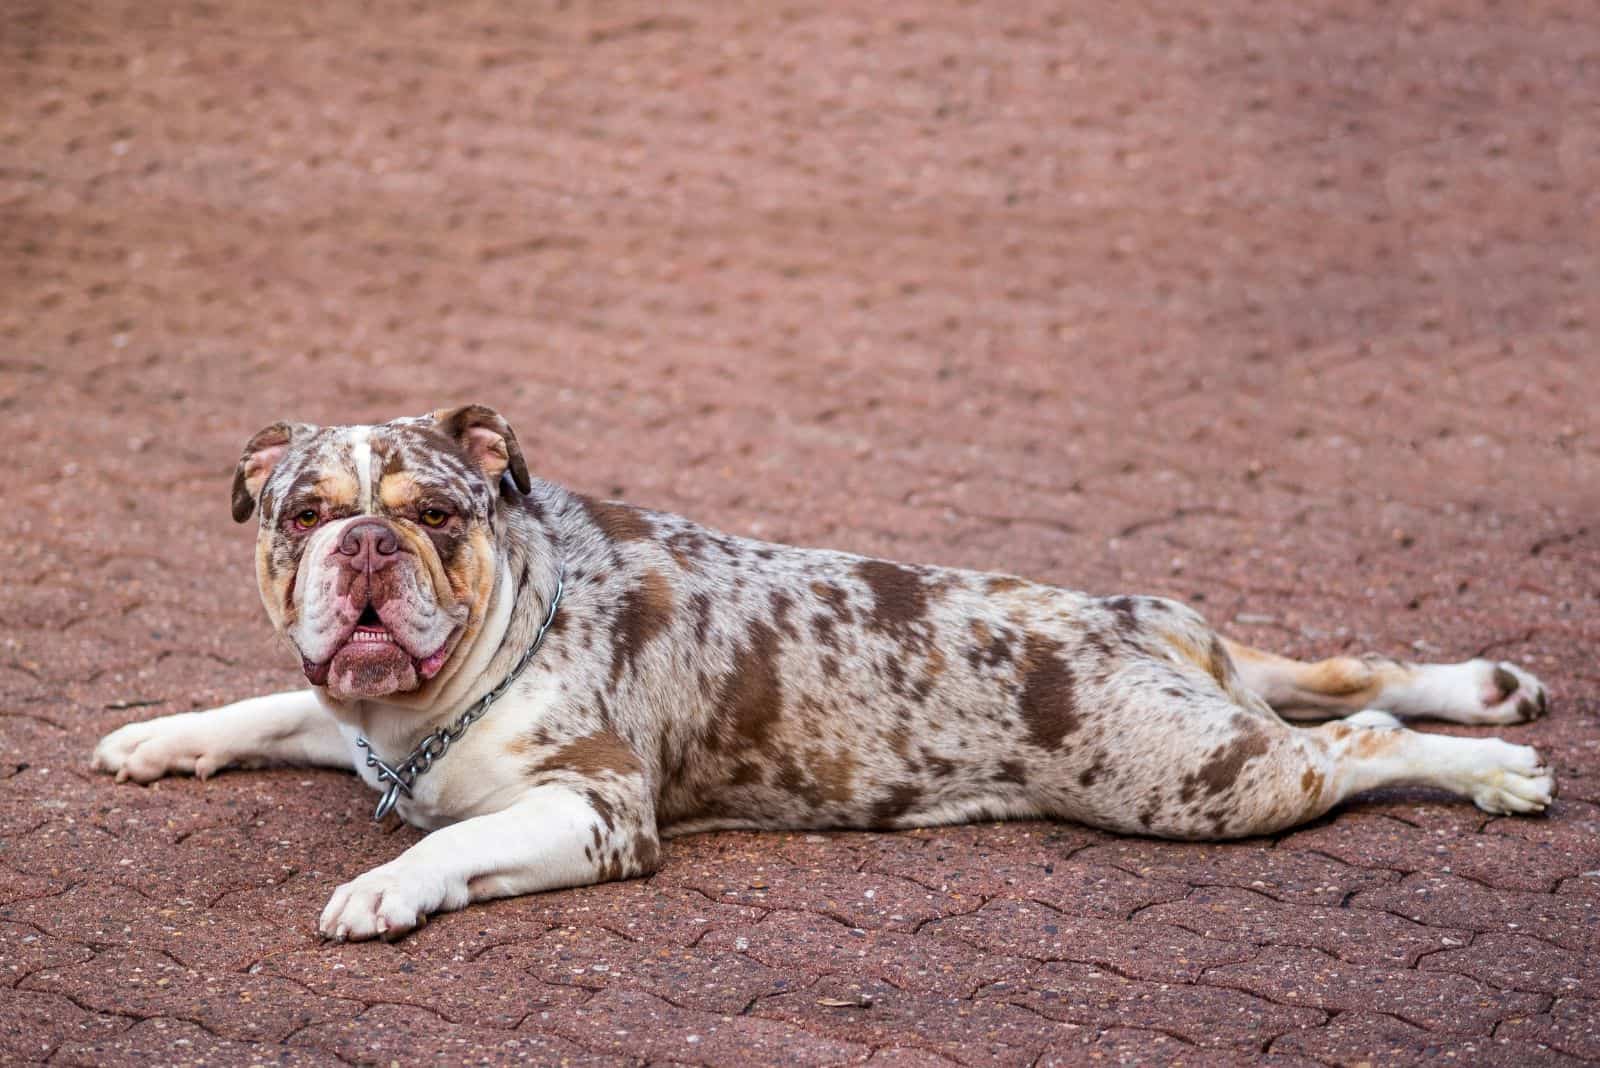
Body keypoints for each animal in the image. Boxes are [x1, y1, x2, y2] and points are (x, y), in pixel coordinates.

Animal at [93, 404, 1555, 940]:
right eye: (302, 511)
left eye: (437, 514)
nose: (365, 543)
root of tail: (1138, 631)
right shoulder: (346, 712)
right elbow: (272, 702)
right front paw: (162, 737)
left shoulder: (594, 813)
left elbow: (449, 843)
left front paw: (384, 888)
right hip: (1217, 700)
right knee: (1336, 669)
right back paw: (1483, 693)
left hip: (1199, 778)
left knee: (1352, 743)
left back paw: (1494, 768)